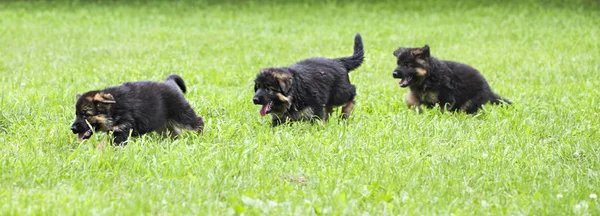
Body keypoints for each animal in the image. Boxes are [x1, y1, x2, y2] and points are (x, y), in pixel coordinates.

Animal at [70, 74, 204, 145]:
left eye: (86, 115)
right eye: (77, 114)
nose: (72, 128)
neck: (114, 109)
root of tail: (169, 82)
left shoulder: (122, 129)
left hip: (182, 113)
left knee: (197, 121)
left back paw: (200, 135)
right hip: (162, 124)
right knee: (174, 133)